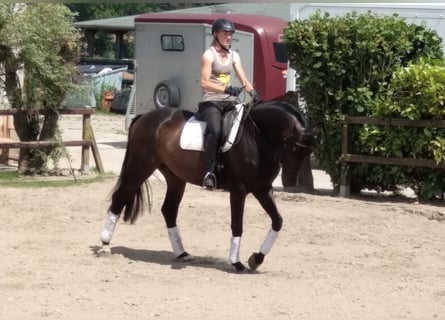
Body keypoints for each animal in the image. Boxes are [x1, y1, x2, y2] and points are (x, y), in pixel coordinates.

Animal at [99, 100, 314, 272]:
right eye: (294, 148)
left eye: (307, 153)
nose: (291, 182)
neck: (257, 138)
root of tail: (144, 117)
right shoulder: (238, 190)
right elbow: (237, 225)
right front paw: (236, 263)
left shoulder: (262, 189)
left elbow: (277, 221)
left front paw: (256, 259)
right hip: (140, 167)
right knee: (120, 198)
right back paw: (104, 244)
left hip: (176, 178)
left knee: (169, 210)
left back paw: (182, 253)